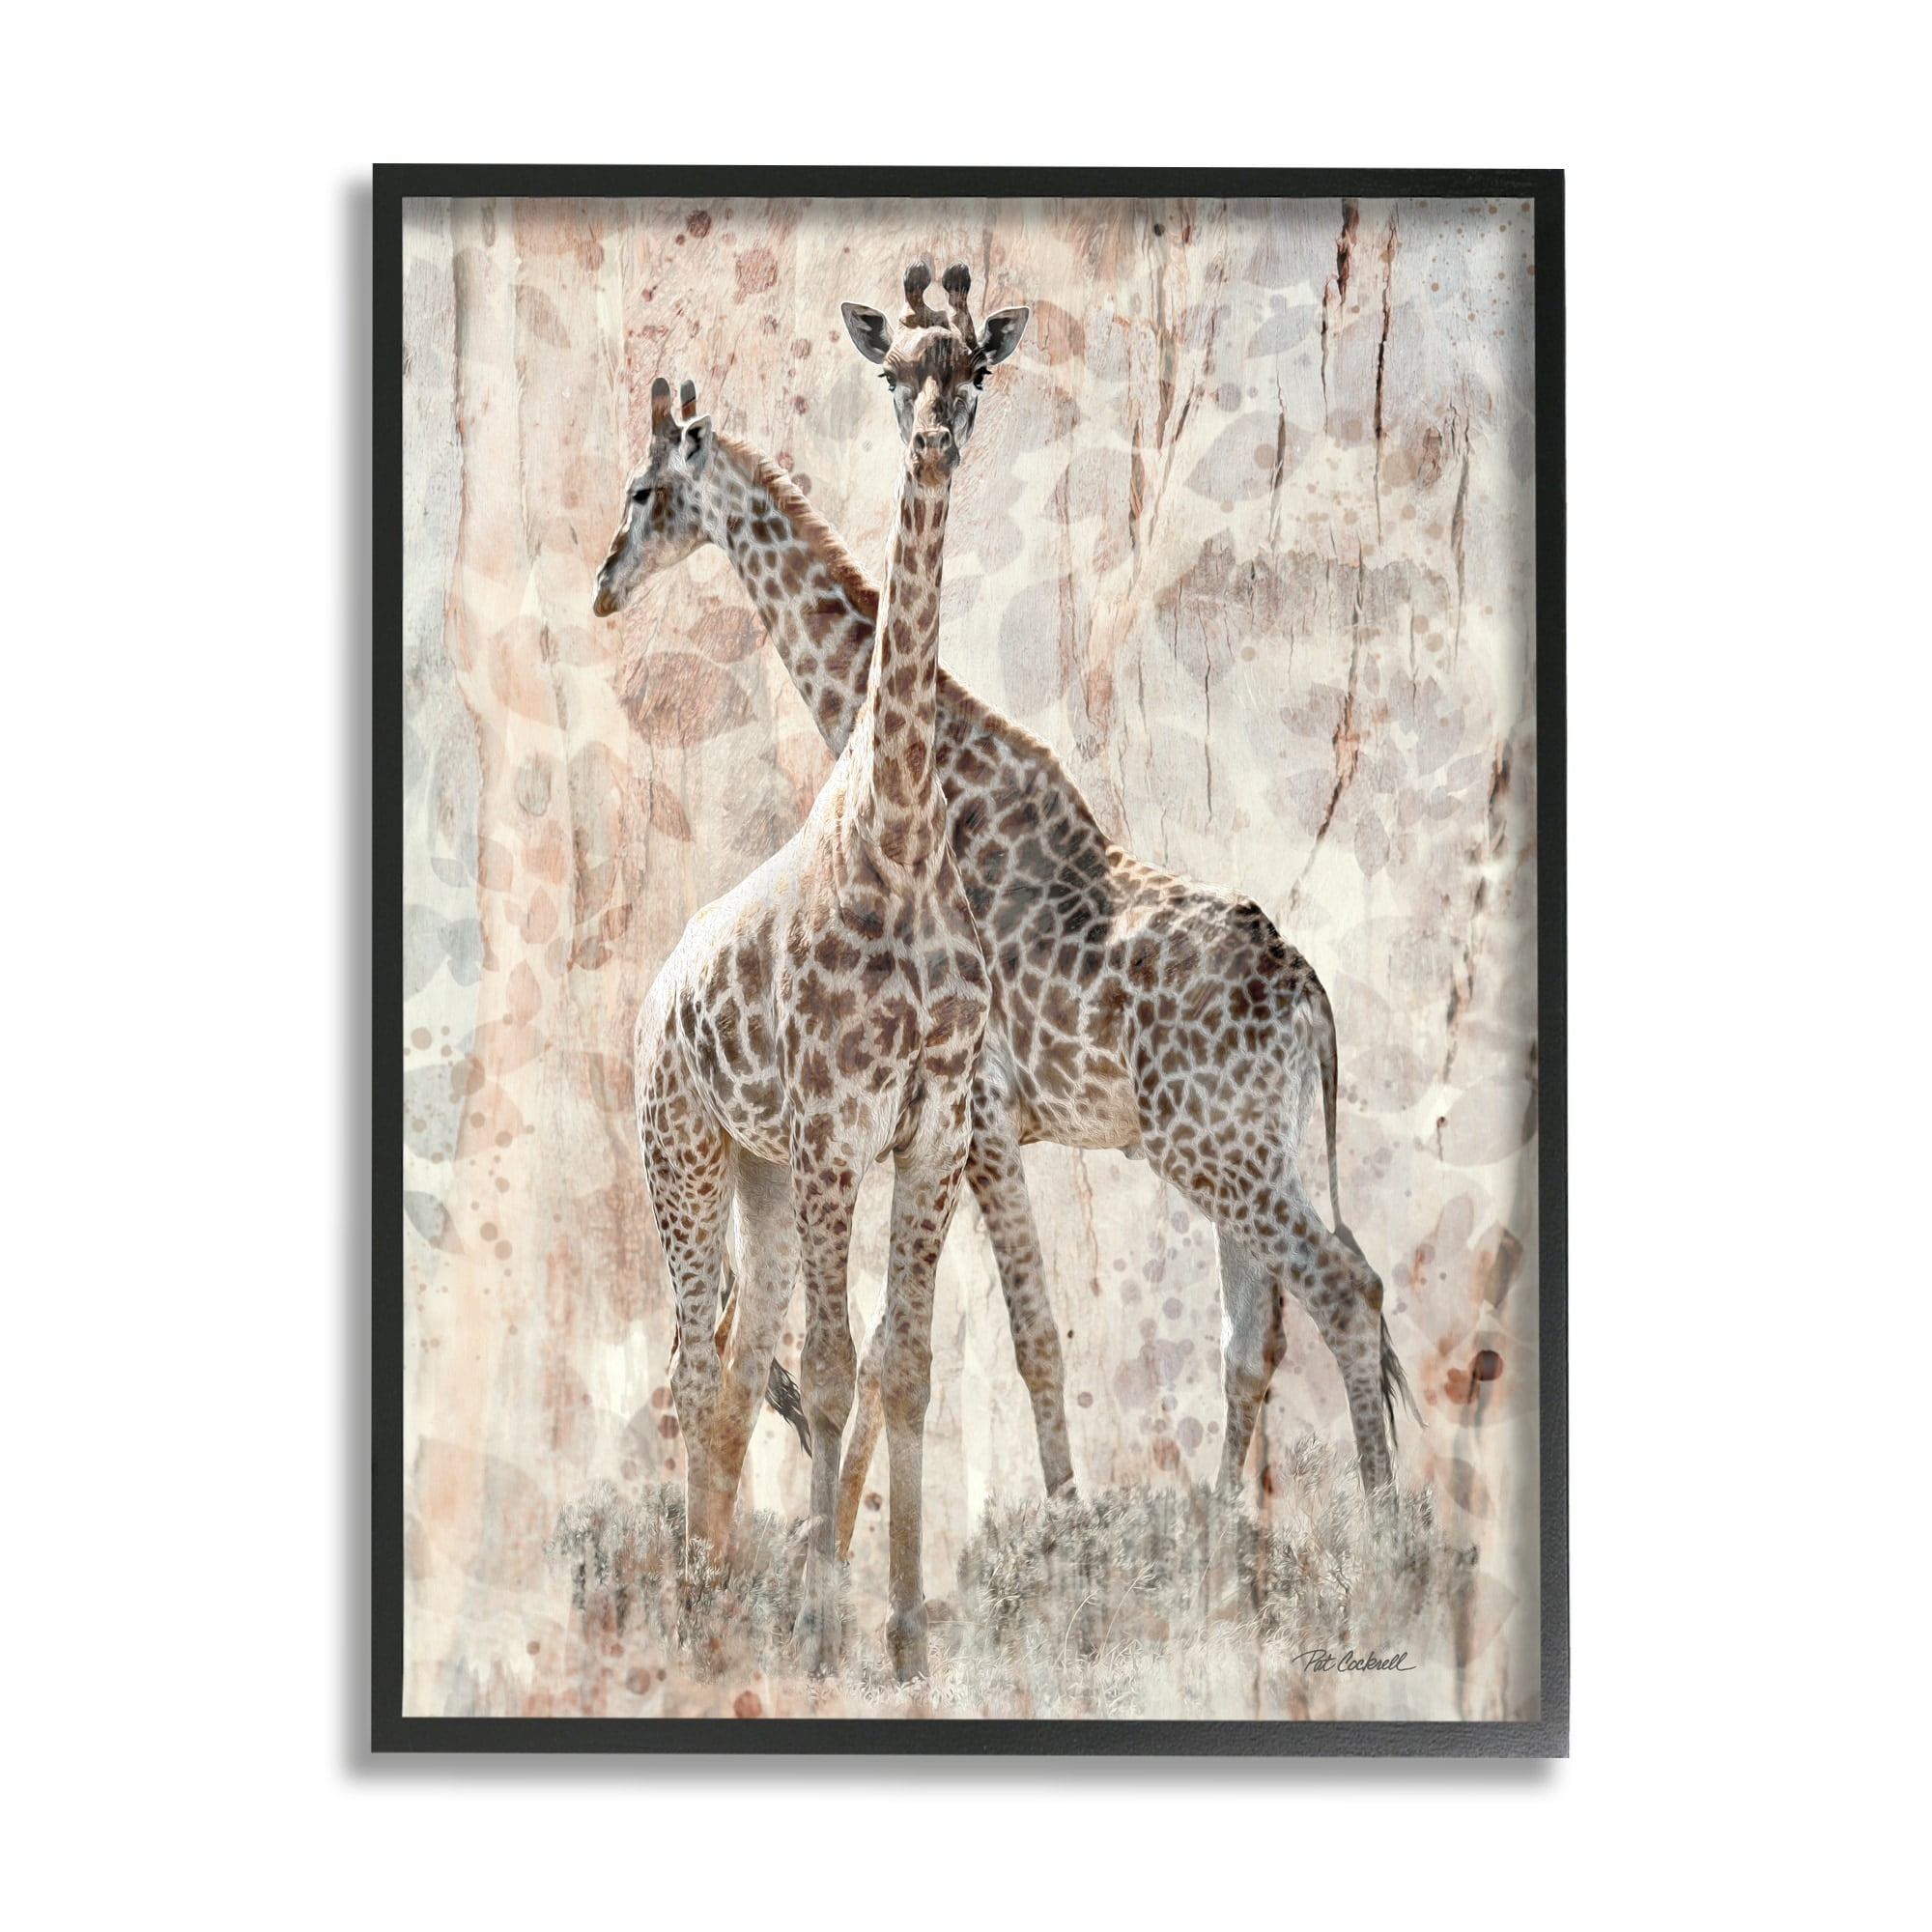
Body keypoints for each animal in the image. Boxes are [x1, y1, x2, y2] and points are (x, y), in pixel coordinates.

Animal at [595, 335, 1420, 1520]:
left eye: (639, 489)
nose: (604, 584)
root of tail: (1311, 994)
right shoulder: (965, 1124)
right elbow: (924, 1343)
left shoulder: (976, 1114)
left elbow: (1003, 1341)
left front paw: (1044, 1525)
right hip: (1255, 1143)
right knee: (1255, 1335)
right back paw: (1231, 1534)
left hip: (1210, 1145)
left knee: (1342, 1291)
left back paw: (1384, 1532)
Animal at [615, 262, 1029, 1680]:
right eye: (893, 370)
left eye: (975, 368)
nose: (936, 437)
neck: (898, 831)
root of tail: (650, 1003)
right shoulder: (842, 1126)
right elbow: (843, 1370)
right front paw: (824, 1626)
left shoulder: (933, 1127)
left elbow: (902, 1371)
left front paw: (898, 1635)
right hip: (686, 1153)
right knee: (693, 1363)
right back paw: (701, 1605)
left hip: (758, 1173)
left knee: (738, 1369)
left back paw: (721, 1591)